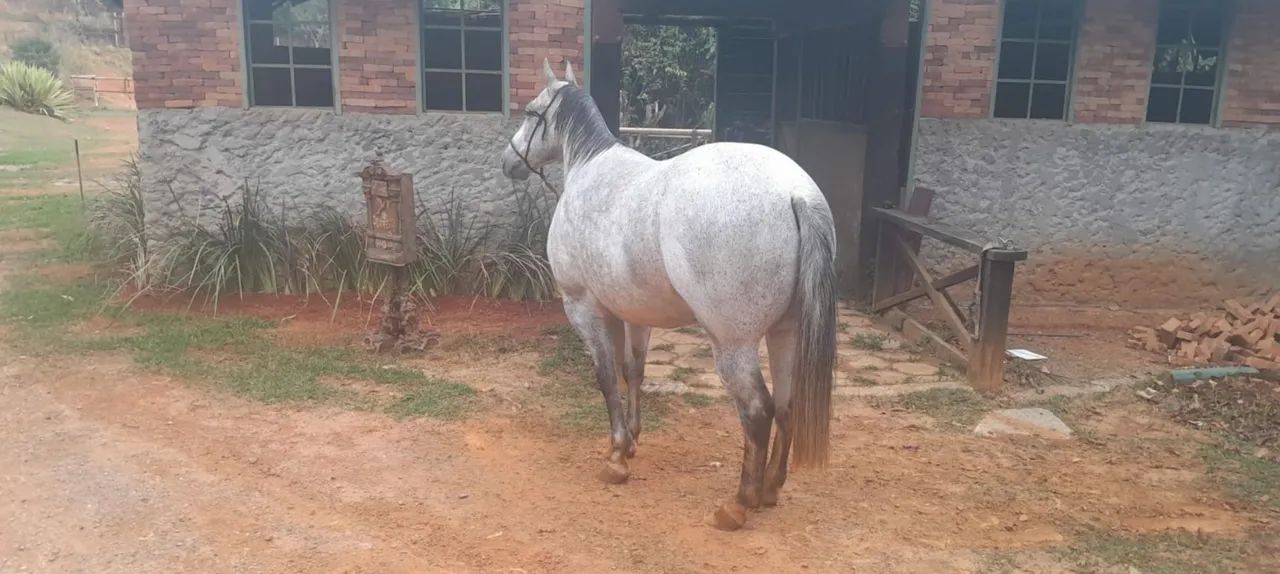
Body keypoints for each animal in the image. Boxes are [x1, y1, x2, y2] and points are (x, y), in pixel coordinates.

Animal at [501, 60, 837, 531]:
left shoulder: (584, 307)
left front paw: (616, 456)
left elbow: (606, 377)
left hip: (733, 343)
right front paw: (631, 443)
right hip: (786, 332)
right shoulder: (633, 314)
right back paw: (770, 489)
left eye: (532, 113)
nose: (508, 161)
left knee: (758, 411)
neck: (591, 170)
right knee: (787, 405)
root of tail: (795, 193)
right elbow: (633, 372)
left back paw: (739, 504)